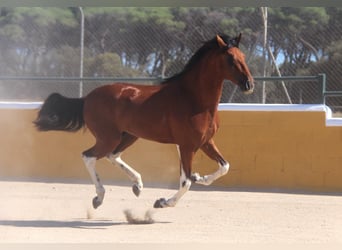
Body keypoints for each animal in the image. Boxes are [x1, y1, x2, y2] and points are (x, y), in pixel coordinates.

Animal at [34, 33, 254, 209]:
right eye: (231, 59)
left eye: (243, 57)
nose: (249, 84)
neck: (195, 99)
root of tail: (87, 98)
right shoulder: (186, 145)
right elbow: (186, 182)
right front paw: (163, 202)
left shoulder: (205, 142)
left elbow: (224, 166)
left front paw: (201, 177)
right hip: (108, 138)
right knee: (88, 156)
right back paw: (99, 197)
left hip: (129, 135)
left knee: (112, 155)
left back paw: (137, 186)